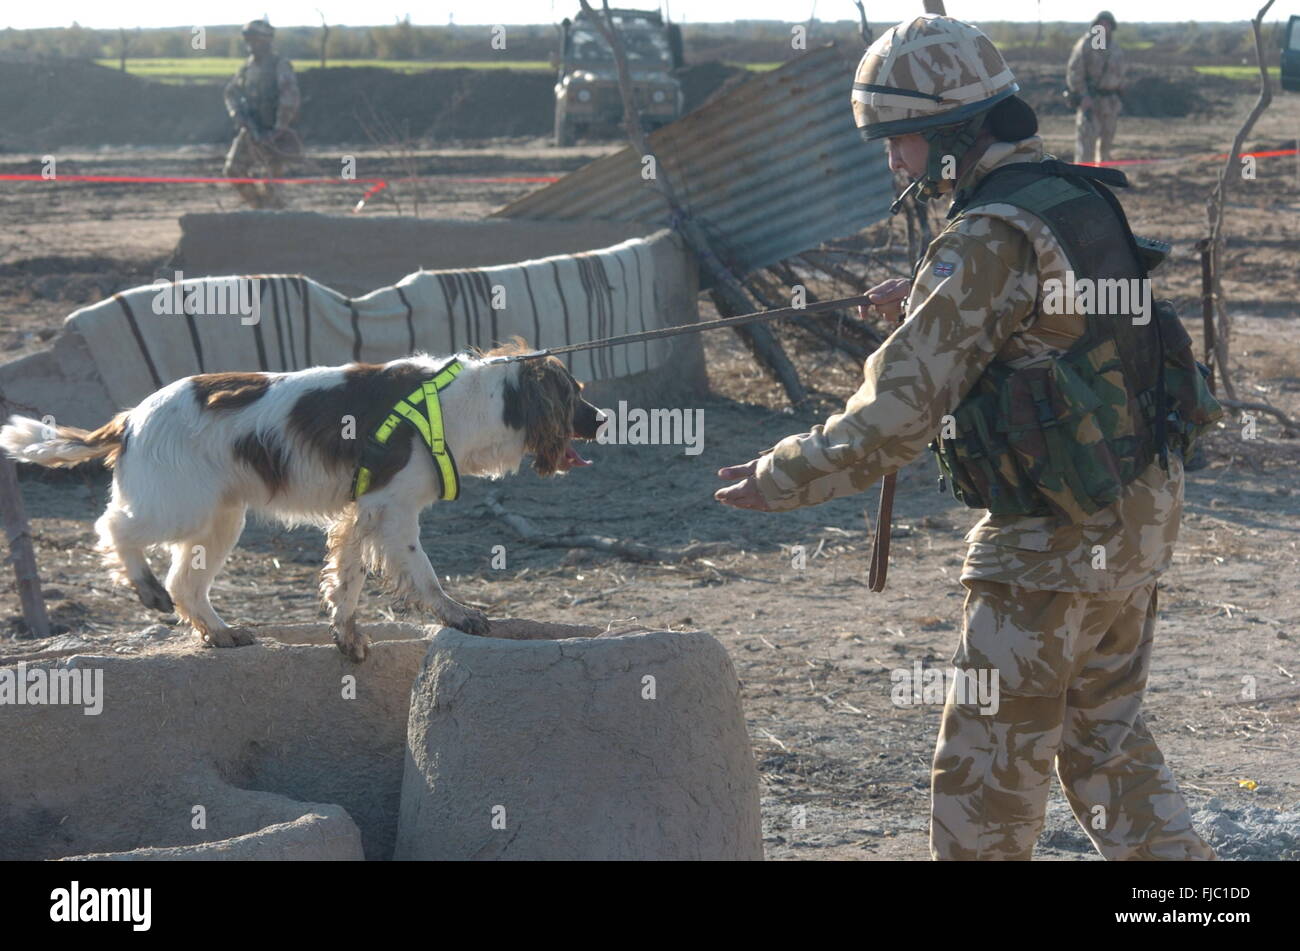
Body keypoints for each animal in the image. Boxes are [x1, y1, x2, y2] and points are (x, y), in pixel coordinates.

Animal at [1, 342, 603, 659]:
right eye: (576, 395)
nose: (602, 419)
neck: (466, 404)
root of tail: (129, 419)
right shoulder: (391, 511)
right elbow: (425, 576)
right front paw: (459, 615)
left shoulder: (362, 514)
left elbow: (348, 582)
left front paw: (347, 635)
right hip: (178, 506)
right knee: (113, 529)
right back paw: (145, 587)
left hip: (221, 519)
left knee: (185, 585)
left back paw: (221, 633)